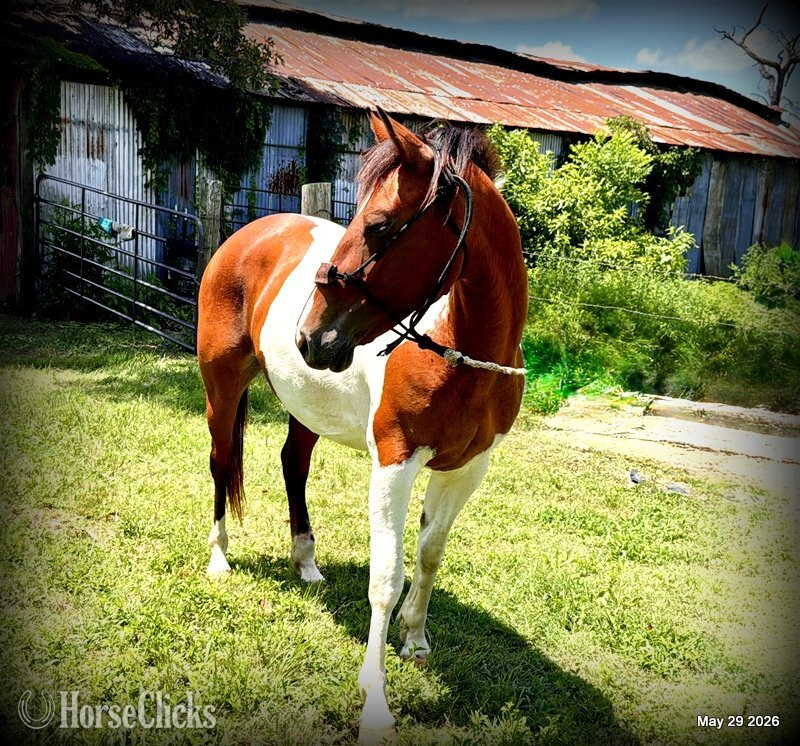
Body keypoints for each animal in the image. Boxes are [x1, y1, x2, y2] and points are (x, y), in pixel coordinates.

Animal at [196, 109, 528, 742]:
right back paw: (219, 558)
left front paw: (416, 640)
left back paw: (306, 563)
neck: (460, 348)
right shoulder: (394, 464)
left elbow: (429, 554)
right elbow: (386, 578)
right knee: (222, 463)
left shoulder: (468, 469)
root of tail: (249, 236)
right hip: (221, 390)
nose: (311, 335)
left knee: (292, 464)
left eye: (377, 226)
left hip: (305, 406)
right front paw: (375, 700)